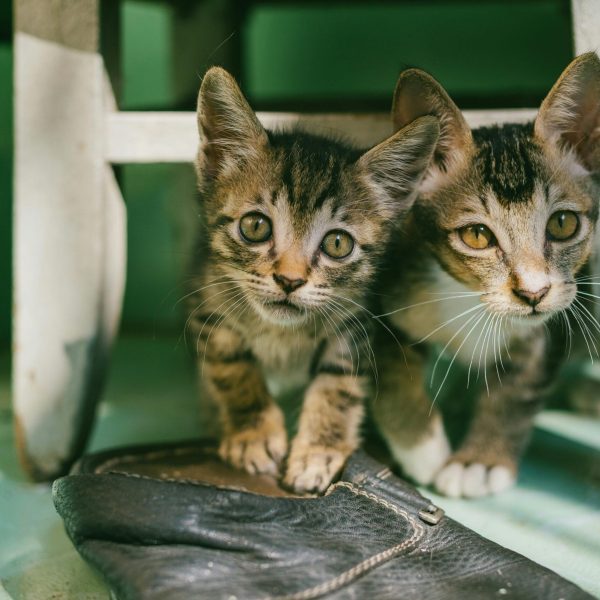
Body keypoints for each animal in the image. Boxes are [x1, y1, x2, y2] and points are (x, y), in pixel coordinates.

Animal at [192, 68, 440, 494]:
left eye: (337, 244)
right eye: (255, 226)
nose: (289, 280)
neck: (282, 333)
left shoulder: (356, 324)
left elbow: (337, 386)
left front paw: (319, 451)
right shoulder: (207, 306)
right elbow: (231, 367)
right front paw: (253, 434)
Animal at [376, 54, 600, 496]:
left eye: (563, 224)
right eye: (477, 235)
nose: (533, 293)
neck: (474, 301)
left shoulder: (552, 326)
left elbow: (516, 391)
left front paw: (479, 461)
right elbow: (391, 370)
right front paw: (423, 447)